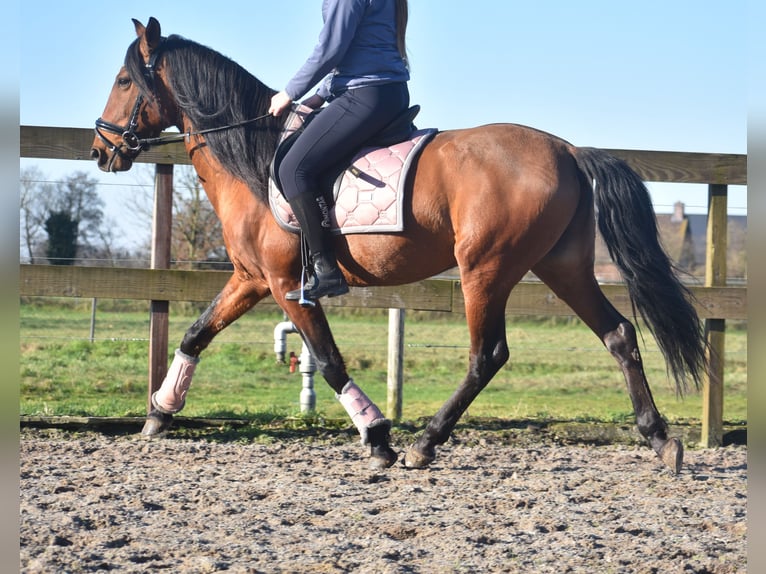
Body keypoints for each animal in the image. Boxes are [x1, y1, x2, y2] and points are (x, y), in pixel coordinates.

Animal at [90, 19, 708, 476]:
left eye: (123, 80)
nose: (100, 150)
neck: (254, 156)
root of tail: (569, 150)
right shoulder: (250, 278)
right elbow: (196, 334)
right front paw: (159, 414)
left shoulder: (288, 287)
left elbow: (329, 362)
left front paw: (379, 437)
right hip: (563, 268)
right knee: (618, 334)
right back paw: (661, 440)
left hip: (486, 269)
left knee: (488, 355)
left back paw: (423, 443)